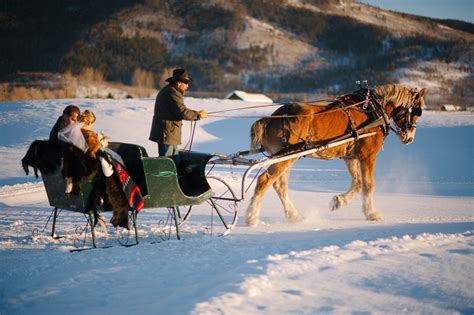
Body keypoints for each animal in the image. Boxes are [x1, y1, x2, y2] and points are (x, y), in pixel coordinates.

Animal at [248, 84, 426, 227]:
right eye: (417, 112)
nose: (409, 138)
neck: (373, 111)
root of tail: (270, 119)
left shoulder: (350, 157)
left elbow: (358, 183)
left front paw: (339, 201)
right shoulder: (368, 156)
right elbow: (368, 185)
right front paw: (372, 214)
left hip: (287, 158)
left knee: (280, 186)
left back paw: (294, 216)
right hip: (287, 157)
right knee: (264, 181)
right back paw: (252, 217)